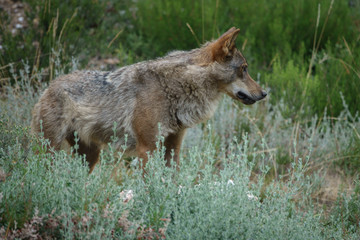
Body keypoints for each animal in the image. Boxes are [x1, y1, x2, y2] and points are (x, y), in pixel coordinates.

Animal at [31, 27, 268, 173]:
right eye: (244, 69)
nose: (264, 93)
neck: (175, 88)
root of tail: (48, 87)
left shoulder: (172, 147)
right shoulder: (147, 148)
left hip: (89, 156)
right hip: (50, 151)